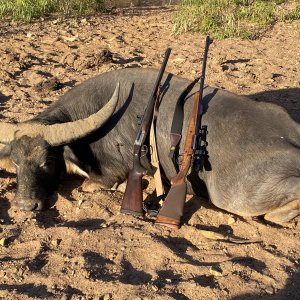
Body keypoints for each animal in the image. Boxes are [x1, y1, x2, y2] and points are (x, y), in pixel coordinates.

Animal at [0, 67, 300, 223]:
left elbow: (93, 184)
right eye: (16, 163)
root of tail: (292, 136)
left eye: (47, 162)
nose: (26, 205)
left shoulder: (110, 173)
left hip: (235, 196)